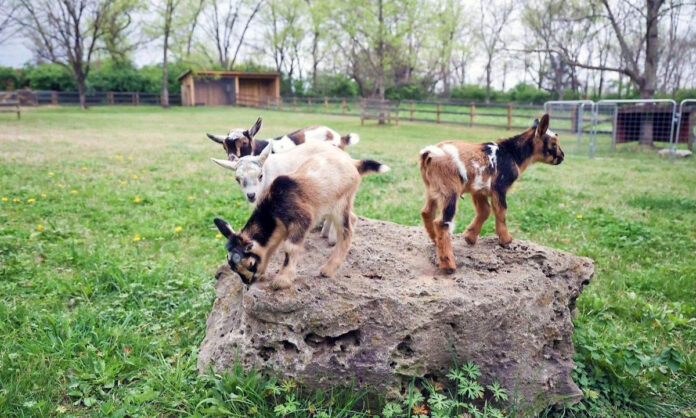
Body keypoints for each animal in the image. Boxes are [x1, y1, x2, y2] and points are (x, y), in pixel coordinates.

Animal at [418, 112, 560, 272]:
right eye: (554, 143)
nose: (562, 157)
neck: (511, 153)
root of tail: (429, 153)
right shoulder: (499, 187)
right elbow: (501, 211)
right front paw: (506, 240)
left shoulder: (479, 189)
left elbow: (485, 210)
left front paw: (470, 237)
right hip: (450, 190)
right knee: (442, 222)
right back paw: (448, 265)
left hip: (434, 189)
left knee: (427, 212)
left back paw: (435, 240)